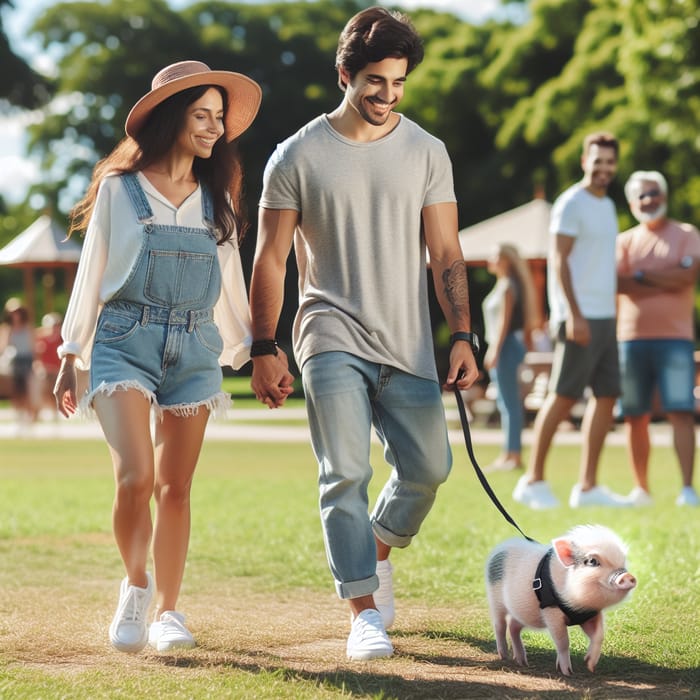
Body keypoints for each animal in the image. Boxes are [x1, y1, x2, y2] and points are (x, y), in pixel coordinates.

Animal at [484, 524, 636, 676]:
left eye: (623, 560)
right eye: (592, 561)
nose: (628, 576)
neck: (579, 604)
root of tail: (502, 546)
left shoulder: (590, 615)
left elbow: (599, 635)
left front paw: (589, 665)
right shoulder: (551, 612)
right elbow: (563, 641)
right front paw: (567, 672)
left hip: (524, 613)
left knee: (513, 626)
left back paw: (522, 662)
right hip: (495, 599)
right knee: (500, 625)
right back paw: (504, 655)